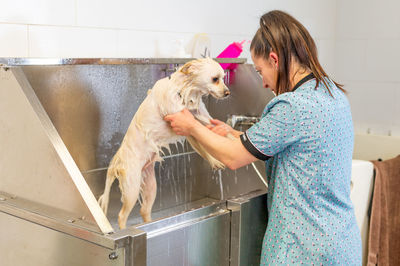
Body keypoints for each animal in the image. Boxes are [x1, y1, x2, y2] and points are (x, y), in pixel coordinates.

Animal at [97, 58, 230, 229]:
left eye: (223, 78)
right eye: (215, 79)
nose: (228, 93)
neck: (184, 92)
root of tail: (117, 161)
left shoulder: (197, 120)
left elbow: (217, 137)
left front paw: (218, 157)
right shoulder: (185, 125)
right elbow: (203, 146)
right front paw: (216, 160)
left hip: (150, 186)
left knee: (144, 211)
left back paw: (149, 224)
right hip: (132, 188)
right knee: (122, 216)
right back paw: (124, 229)